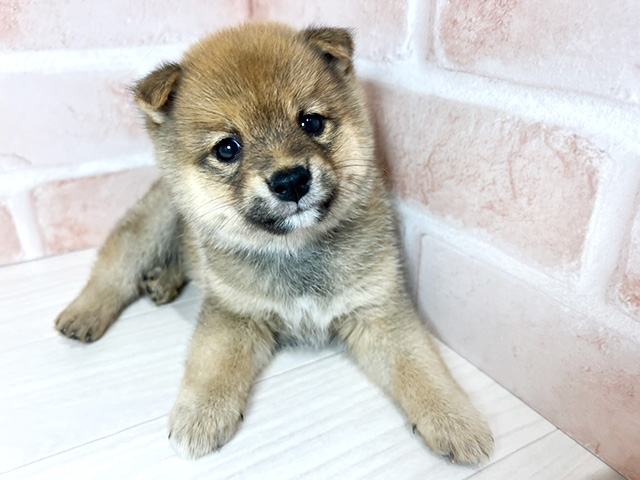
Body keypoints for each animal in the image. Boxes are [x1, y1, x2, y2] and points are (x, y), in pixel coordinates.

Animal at [56, 23, 496, 464]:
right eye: (227, 148)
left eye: (311, 122)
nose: (291, 180)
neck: (297, 249)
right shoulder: (234, 313)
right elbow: (211, 363)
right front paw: (200, 416)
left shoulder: (377, 310)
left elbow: (421, 367)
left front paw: (456, 420)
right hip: (154, 222)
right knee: (115, 268)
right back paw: (84, 314)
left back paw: (161, 281)